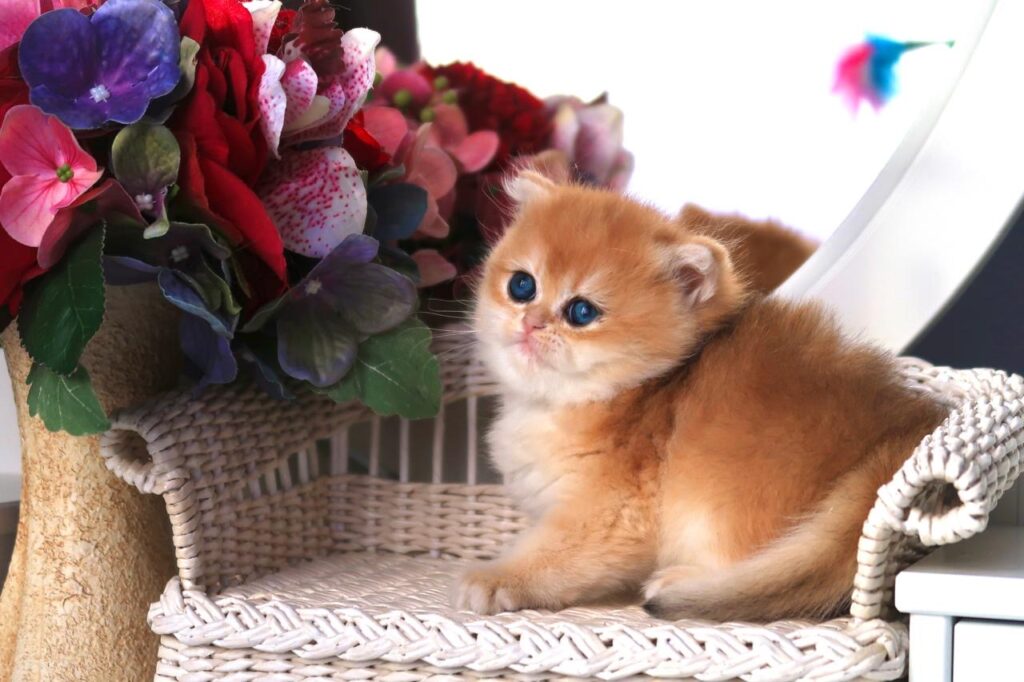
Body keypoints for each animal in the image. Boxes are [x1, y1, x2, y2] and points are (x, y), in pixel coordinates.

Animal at [458, 170, 948, 621]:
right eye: (522, 286)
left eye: (582, 312)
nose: (531, 323)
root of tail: (897, 432)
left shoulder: (610, 518)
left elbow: (553, 557)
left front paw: (495, 579)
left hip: (718, 509)